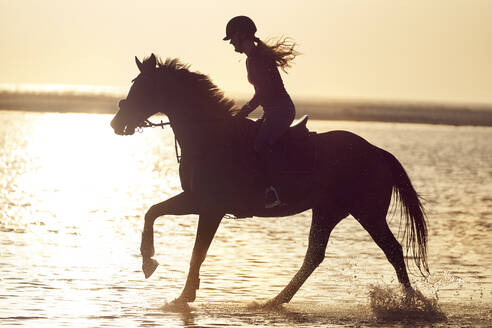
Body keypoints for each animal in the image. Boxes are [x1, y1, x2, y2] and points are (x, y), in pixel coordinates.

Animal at [110, 53, 426, 308]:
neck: (210, 137)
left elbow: (197, 251)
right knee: (314, 255)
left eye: (142, 87)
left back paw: (412, 302)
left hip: (367, 213)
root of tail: (377, 152)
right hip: (328, 211)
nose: (116, 123)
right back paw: (274, 301)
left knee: (393, 250)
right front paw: (149, 262)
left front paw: (182, 294)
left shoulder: (210, 208)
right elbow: (152, 212)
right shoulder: (196, 201)